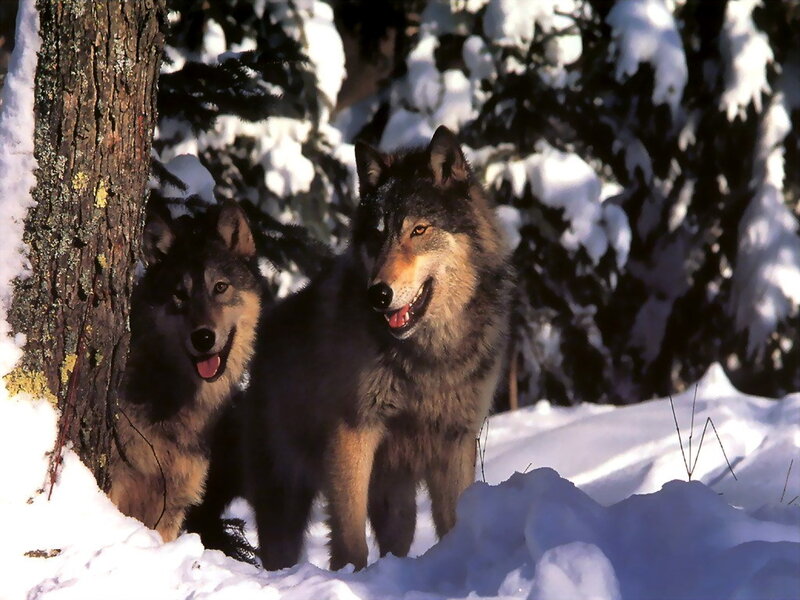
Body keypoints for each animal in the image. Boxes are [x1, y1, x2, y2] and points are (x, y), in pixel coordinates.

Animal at [243, 126, 514, 570]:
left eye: (418, 230)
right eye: (376, 234)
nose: (378, 294)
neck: (428, 356)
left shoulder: (455, 443)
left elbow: (454, 521)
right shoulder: (353, 432)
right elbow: (350, 535)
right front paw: (350, 576)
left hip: (396, 502)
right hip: (286, 498)